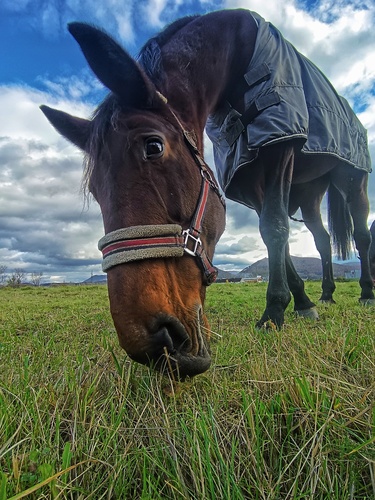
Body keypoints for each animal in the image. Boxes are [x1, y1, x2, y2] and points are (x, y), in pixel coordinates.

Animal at [39, 9, 374, 376]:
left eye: (153, 146)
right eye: (94, 189)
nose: (154, 345)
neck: (238, 56)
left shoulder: (279, 146)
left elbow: (275, 229)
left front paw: (273, 313)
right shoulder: (249, 176)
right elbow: (276, 237)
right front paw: (301, 301)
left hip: (352, 178)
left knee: (361, 234)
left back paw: (366, 293)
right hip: (311, 194)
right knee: (323, 239)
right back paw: (326, 294)